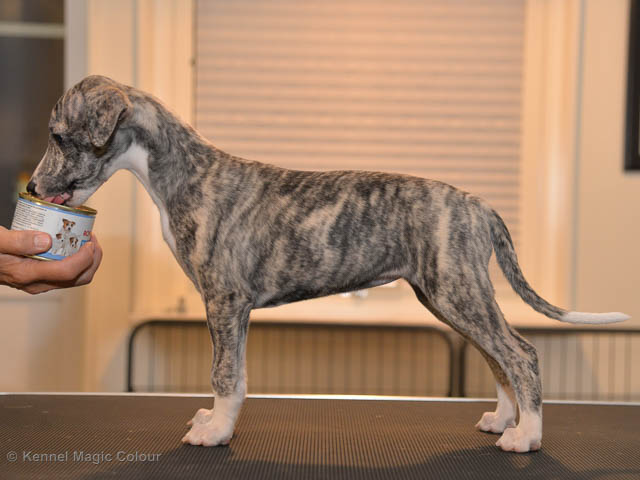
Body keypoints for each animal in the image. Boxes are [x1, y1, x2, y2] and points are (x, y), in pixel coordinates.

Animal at [27, 75, 629, 453]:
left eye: (58, 135)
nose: (31, 187)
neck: (186, 174)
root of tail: (478, 204)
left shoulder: (224, 301)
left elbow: (225, 374)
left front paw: (215, 431)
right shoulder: (231, 307)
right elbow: (235, 375)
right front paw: (215, 422)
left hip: (455, 290)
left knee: (520, 354)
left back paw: (527, 437)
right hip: (448, 295)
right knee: (499, 356)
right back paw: (505, 420)